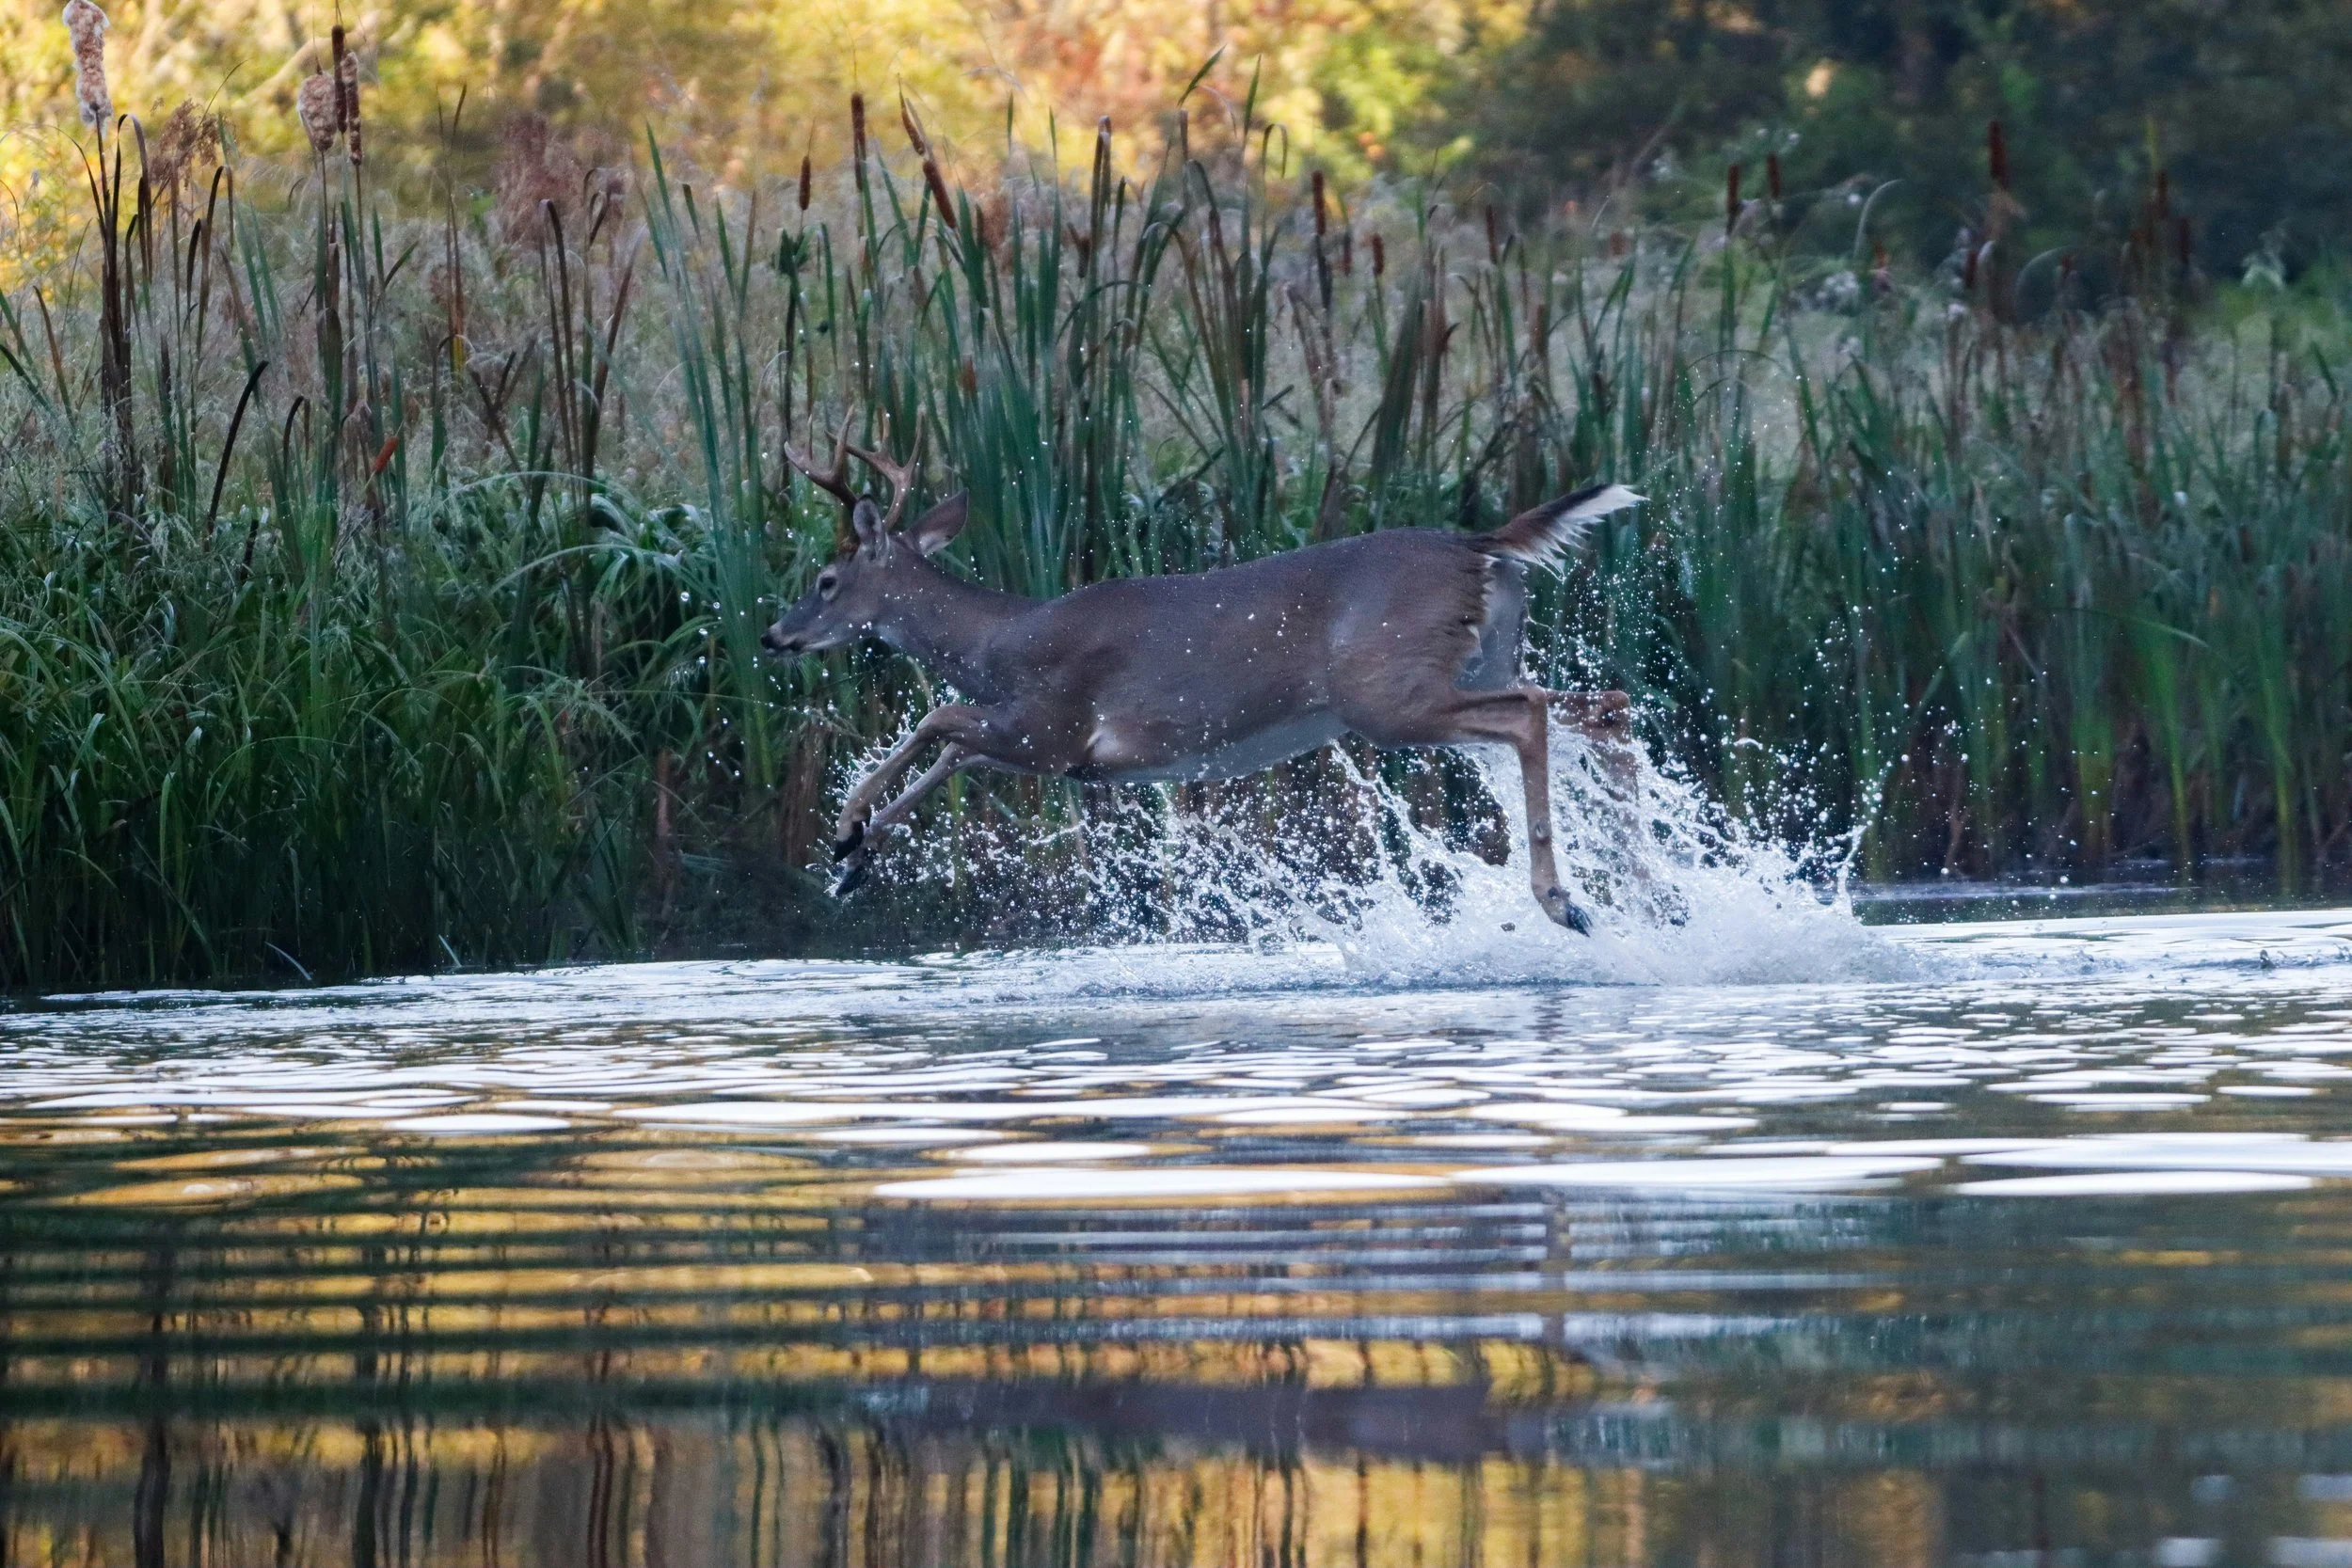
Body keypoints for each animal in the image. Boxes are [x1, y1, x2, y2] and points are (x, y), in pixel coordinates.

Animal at [761, 417, 1645, 934]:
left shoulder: (1054, 723)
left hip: (1385, 690)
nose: (775, 636)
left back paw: (1563, 900)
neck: (998, 639)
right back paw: (1640, 887)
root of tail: (1479, 545)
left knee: (1529, 713)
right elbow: (949, 747)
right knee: (1607, 705)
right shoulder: (1048, 745)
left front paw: (847, 829)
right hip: (1482, 656)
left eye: (826, 580)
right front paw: (854, 857)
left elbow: (936, 723)